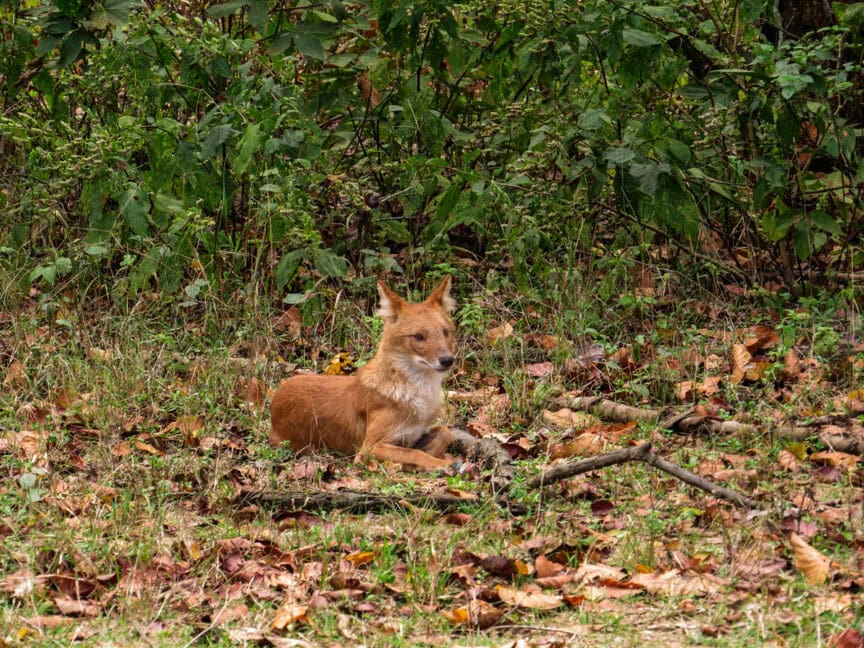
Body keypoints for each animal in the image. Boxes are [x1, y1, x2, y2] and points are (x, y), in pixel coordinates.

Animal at [270, 276, 458, 471]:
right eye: (418, 336)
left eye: (446, 332)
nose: (447, 359)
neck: (420, 392)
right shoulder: (368, 449)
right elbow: (414, 453)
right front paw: (440, 464)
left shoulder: (417, 431)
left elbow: (445, 432)